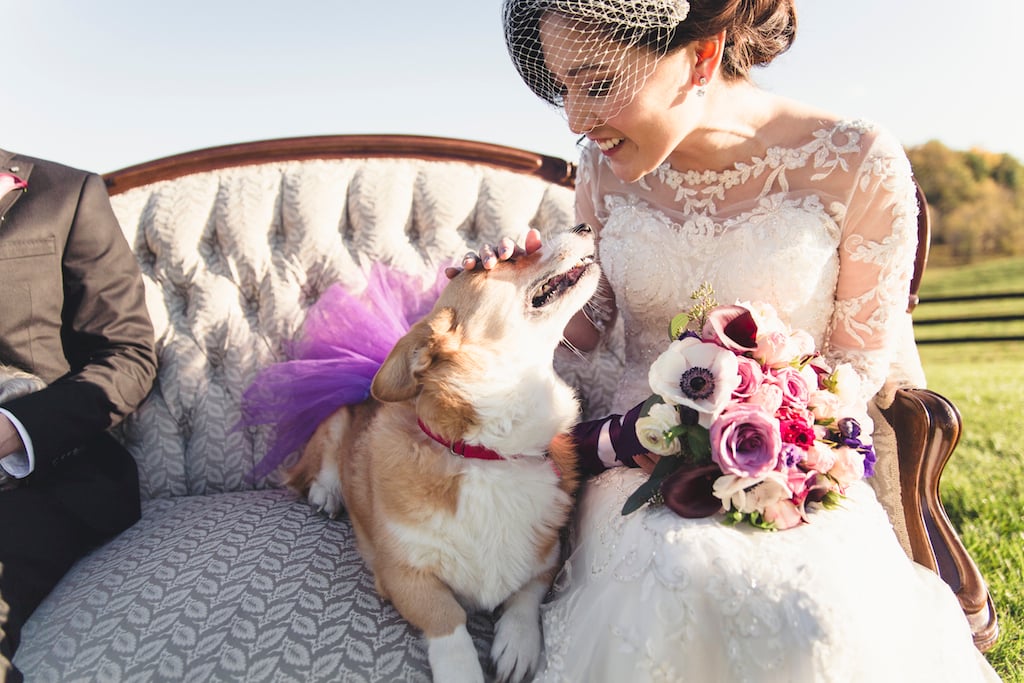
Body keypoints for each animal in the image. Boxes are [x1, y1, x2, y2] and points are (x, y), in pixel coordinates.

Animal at [288, 225, 598, 683]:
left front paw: (517, 644)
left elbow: (525, 599)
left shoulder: (547, 560)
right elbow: (447, 619)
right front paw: (462, 668)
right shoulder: (403, 574)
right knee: (324, 464)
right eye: (510, 258)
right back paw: (326, 494)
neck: (486, 452)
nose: (585, 227)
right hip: (336, 422)